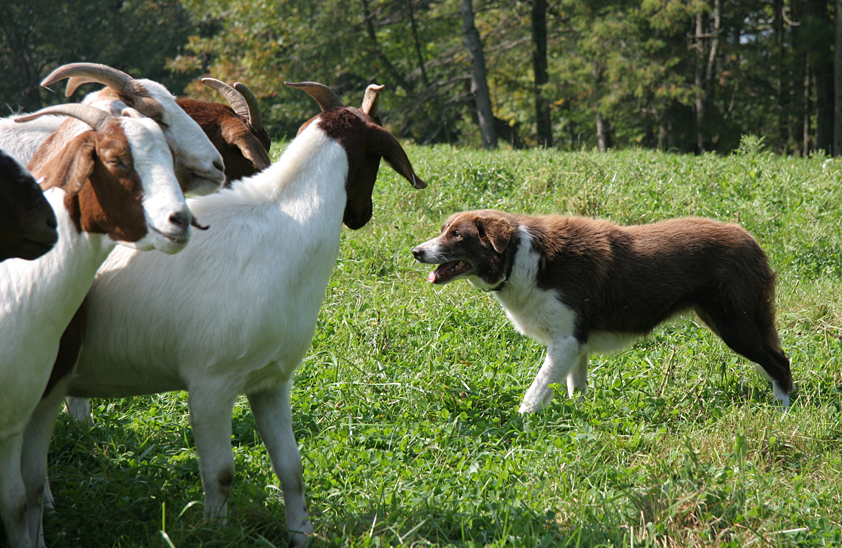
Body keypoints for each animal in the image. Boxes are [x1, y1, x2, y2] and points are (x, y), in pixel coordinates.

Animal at [24, 82, 426, 548]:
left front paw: (301, 533)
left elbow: (291, 467)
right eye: (375, 158)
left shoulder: (271, 382)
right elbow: (221, 474)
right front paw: (214, 532)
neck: (283, 224)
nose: (362, 216)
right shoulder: (210, 386)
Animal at [414, 209, 796, 412]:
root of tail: (750, 240)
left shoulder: (565, 341)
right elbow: (575, 387)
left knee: (779, 361)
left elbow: (536, 390)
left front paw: (521, 421)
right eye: (444, 230)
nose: (416, 251)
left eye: (458, 235)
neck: (520, 258)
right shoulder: (576, 344)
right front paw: (578, 416)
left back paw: (781, 410)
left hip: (735, 324)